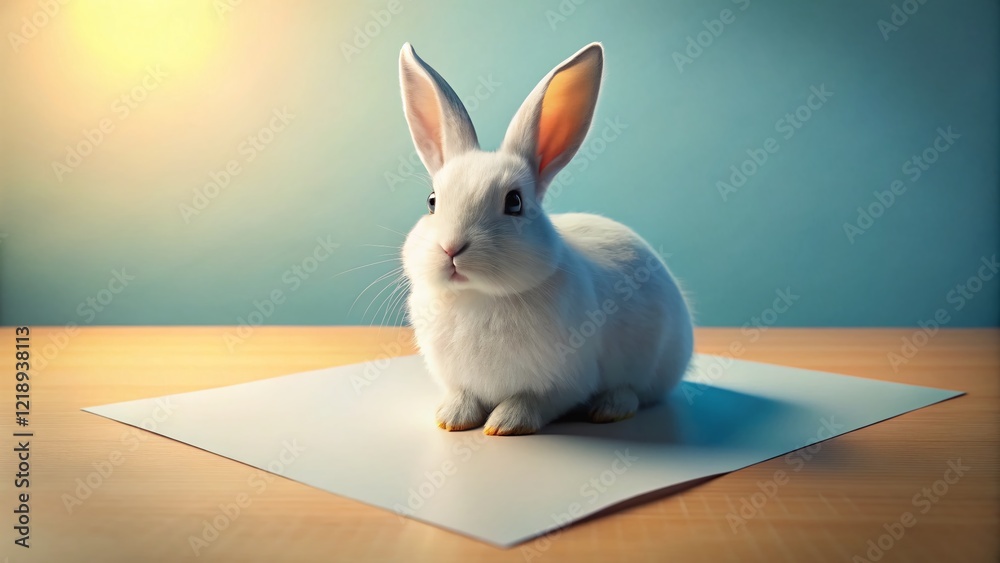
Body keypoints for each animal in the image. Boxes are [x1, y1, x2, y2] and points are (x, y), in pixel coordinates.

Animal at [397, 42, 693, 436]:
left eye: (514, 202)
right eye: (432, 202)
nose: (451, 248)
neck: (477, 296)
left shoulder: (566, 383)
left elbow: (534, 400)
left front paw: (505, 423)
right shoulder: (459, 379)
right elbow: (463, 395)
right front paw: (452, 418)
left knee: (634, 391)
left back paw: (610, 408)